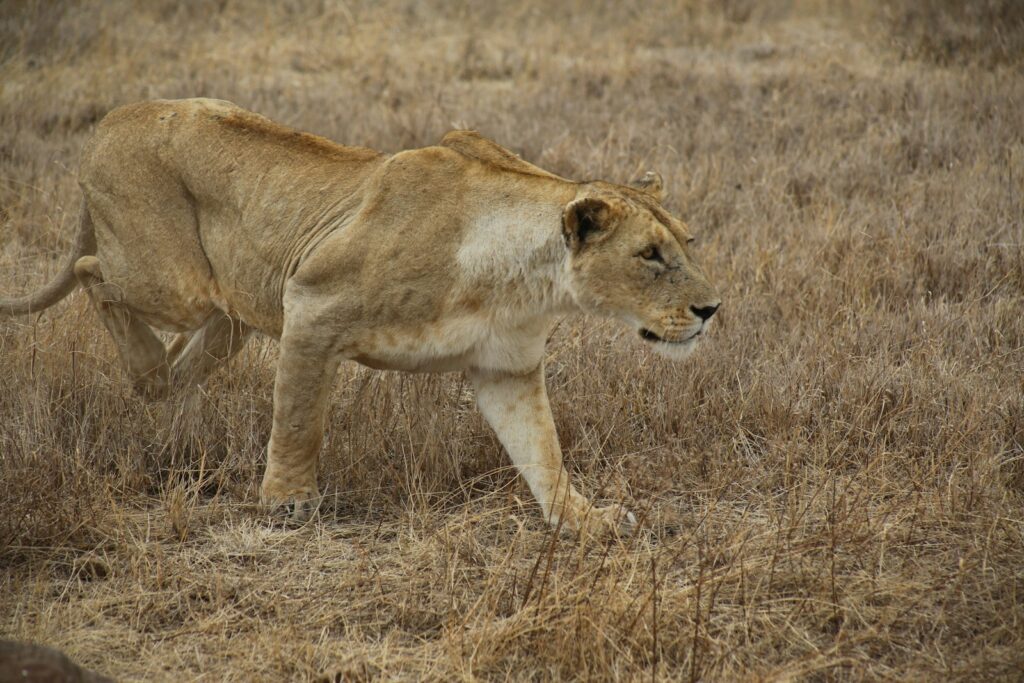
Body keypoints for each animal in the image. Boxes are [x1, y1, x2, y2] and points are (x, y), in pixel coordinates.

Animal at [1, 99, 721, 536]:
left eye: (686, 242)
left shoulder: (506, 370)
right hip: (177, 284)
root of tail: (113, 117)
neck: (526, 281)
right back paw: (146, 357)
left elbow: (542, 450)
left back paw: (153, 379)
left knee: (165, 372)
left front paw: (582, 519)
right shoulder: (311, 304)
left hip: (230, 316)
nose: (711, 309)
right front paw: (286, 501)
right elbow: (299, 419)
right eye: (650, 255)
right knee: (92, 270)